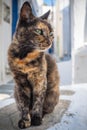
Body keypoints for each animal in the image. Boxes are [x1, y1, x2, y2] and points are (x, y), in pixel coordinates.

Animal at [7, 1, 59, 129]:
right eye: (39, 31)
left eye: (51, 33)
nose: (50, 41)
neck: (24, 56)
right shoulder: (20, 83)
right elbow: (24, 103)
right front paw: (25, 120)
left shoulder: (40, 80)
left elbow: (38, 101)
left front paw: (36, 118)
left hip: (51, 96)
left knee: (47, 108)